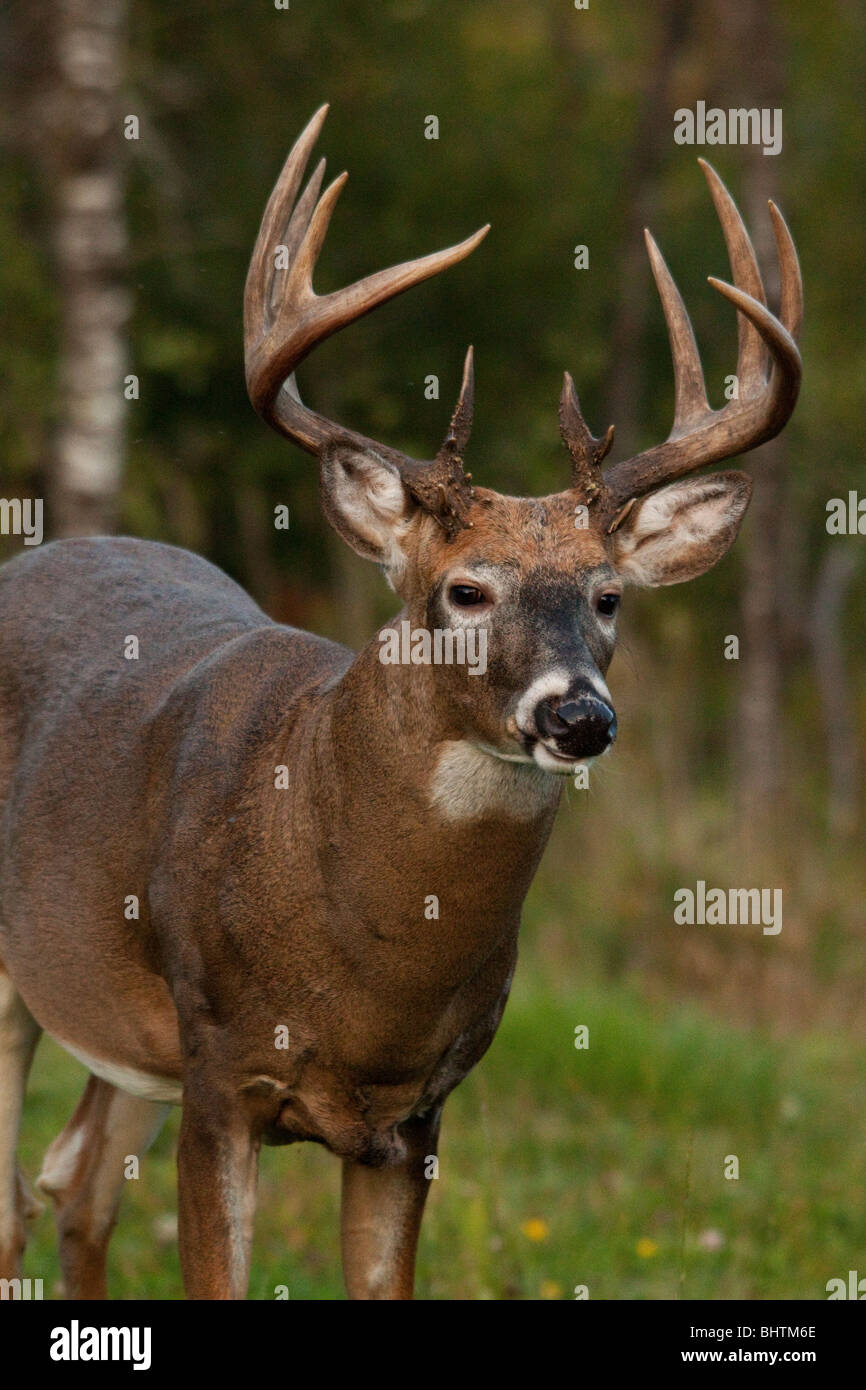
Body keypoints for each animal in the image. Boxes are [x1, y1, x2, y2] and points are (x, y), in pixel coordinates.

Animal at [0, 108, 800, 1301]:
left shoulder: (417, 1113)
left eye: (608, 596)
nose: (580, 719)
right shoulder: (219, 1066)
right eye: (464, 589)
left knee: (78, 1179)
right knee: (20, 1194)